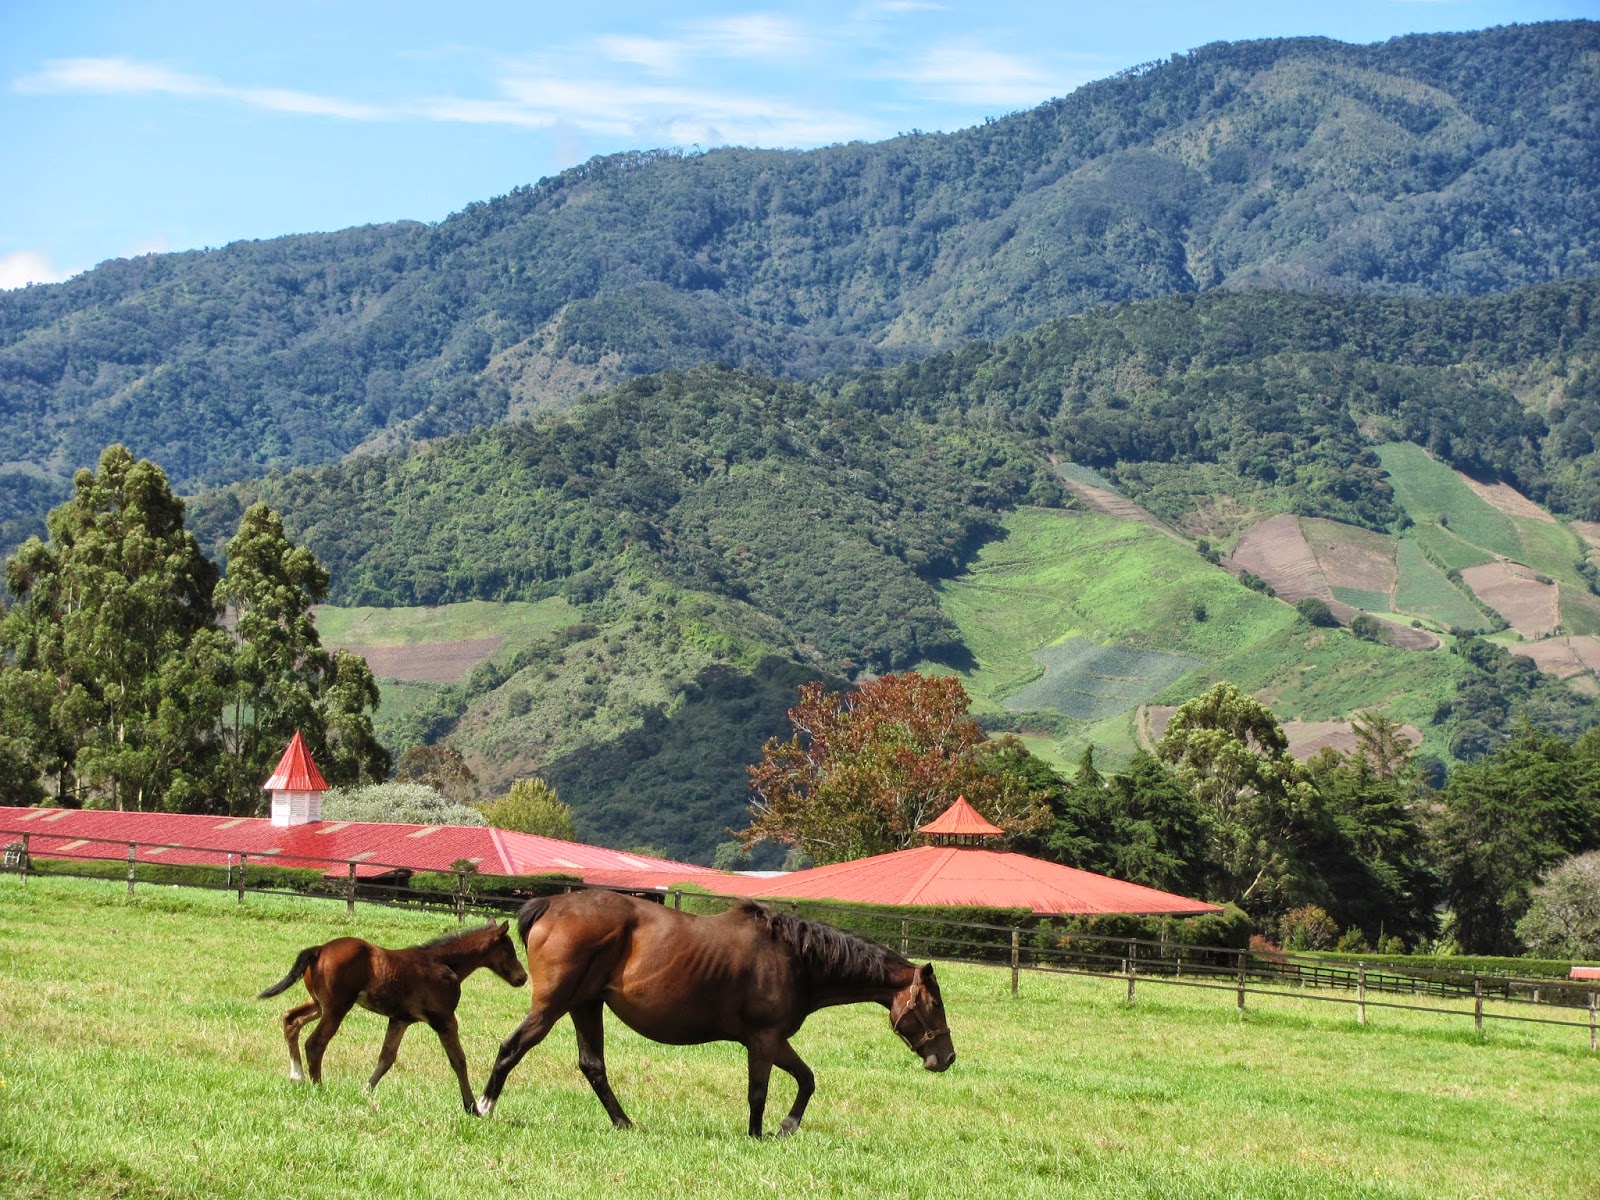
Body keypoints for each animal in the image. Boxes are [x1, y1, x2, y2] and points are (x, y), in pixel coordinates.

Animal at [257, 921, 528, 1113]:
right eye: (509, 950)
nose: (523, 977)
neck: (443, 963)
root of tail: (320, 949)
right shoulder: (444, 1020)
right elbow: (458, 1060)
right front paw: (472, 1107)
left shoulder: (400, 1019)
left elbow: (386, 1058)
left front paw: (365, 1091)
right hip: (336, 1008)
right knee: (315, 1043)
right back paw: (318, 1087)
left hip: (318, 1004)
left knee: (290, 1020)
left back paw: (297, 1076)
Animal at [475, 890, 956, 1136]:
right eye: (934, 1004)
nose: (947, 1057)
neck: (796, 959)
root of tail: (551, 904)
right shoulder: (763, 1039)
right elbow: (759, 1092)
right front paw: (758, 1135)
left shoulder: (775, 1040)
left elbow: (807, 1079)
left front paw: (787, 1126)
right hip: (552, 1007)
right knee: (511, 1048)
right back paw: (482, 1107)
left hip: (585, 1006)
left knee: (593, 1066)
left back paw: (624, 1122)